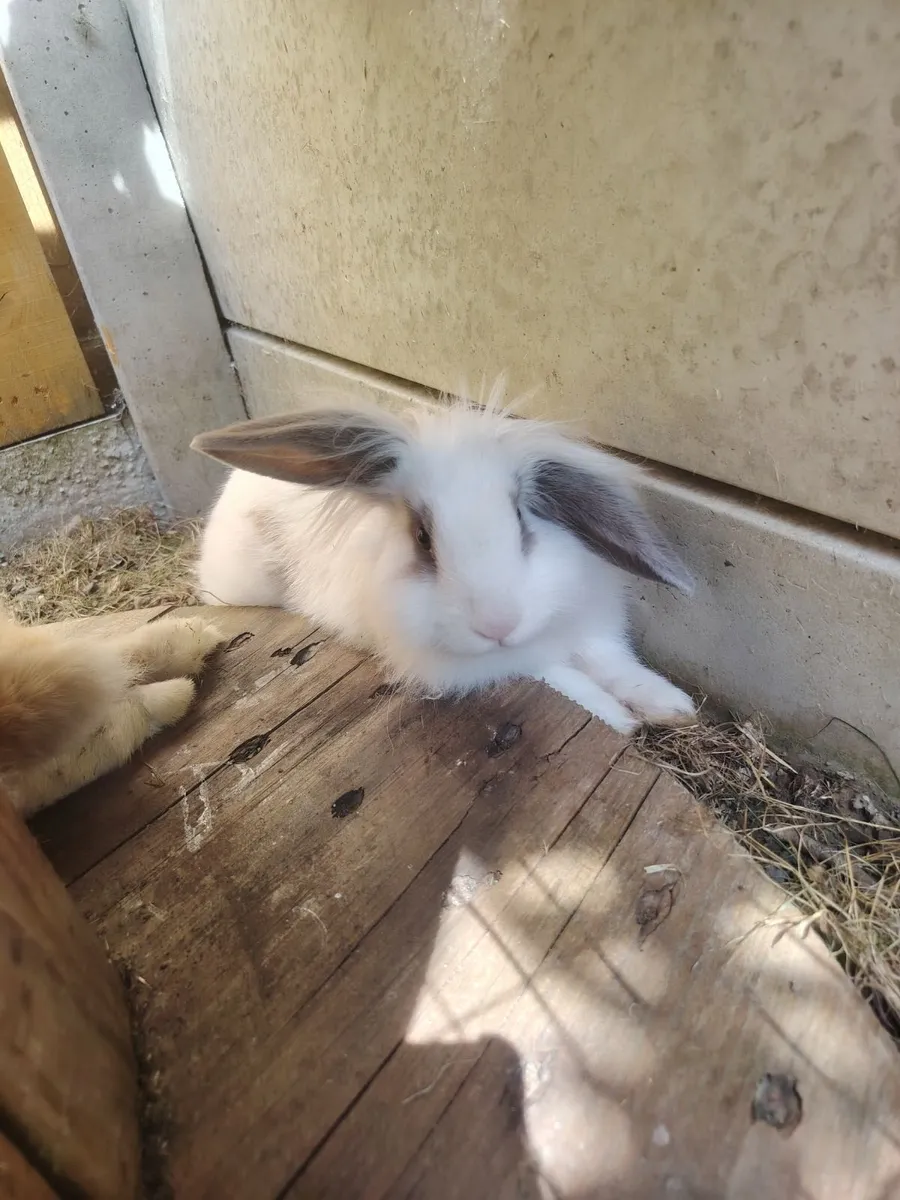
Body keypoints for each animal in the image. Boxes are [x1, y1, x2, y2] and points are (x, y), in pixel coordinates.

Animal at [191, 391, 697, 735]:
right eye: (422, 537)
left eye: (521, 518)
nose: (498, 626)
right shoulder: (488, 666)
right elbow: (567, 681)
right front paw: (621, 721)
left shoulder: (591, 626)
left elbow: (611, 662)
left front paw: (673, 706)